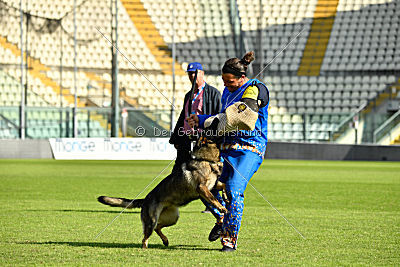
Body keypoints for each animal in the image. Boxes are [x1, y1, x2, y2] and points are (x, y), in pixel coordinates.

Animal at [98, 138, 227, 249]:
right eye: (211, 139)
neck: (205, 160)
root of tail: (145, 199)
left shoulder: (212, 186)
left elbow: (223, 185)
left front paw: (225, 197)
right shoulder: (202, 188)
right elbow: (213, 199)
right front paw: (221, 207)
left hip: (173, 218)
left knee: (158, 228)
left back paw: (165, 240)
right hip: (152, 221)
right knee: (146, 237)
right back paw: (145, 248)